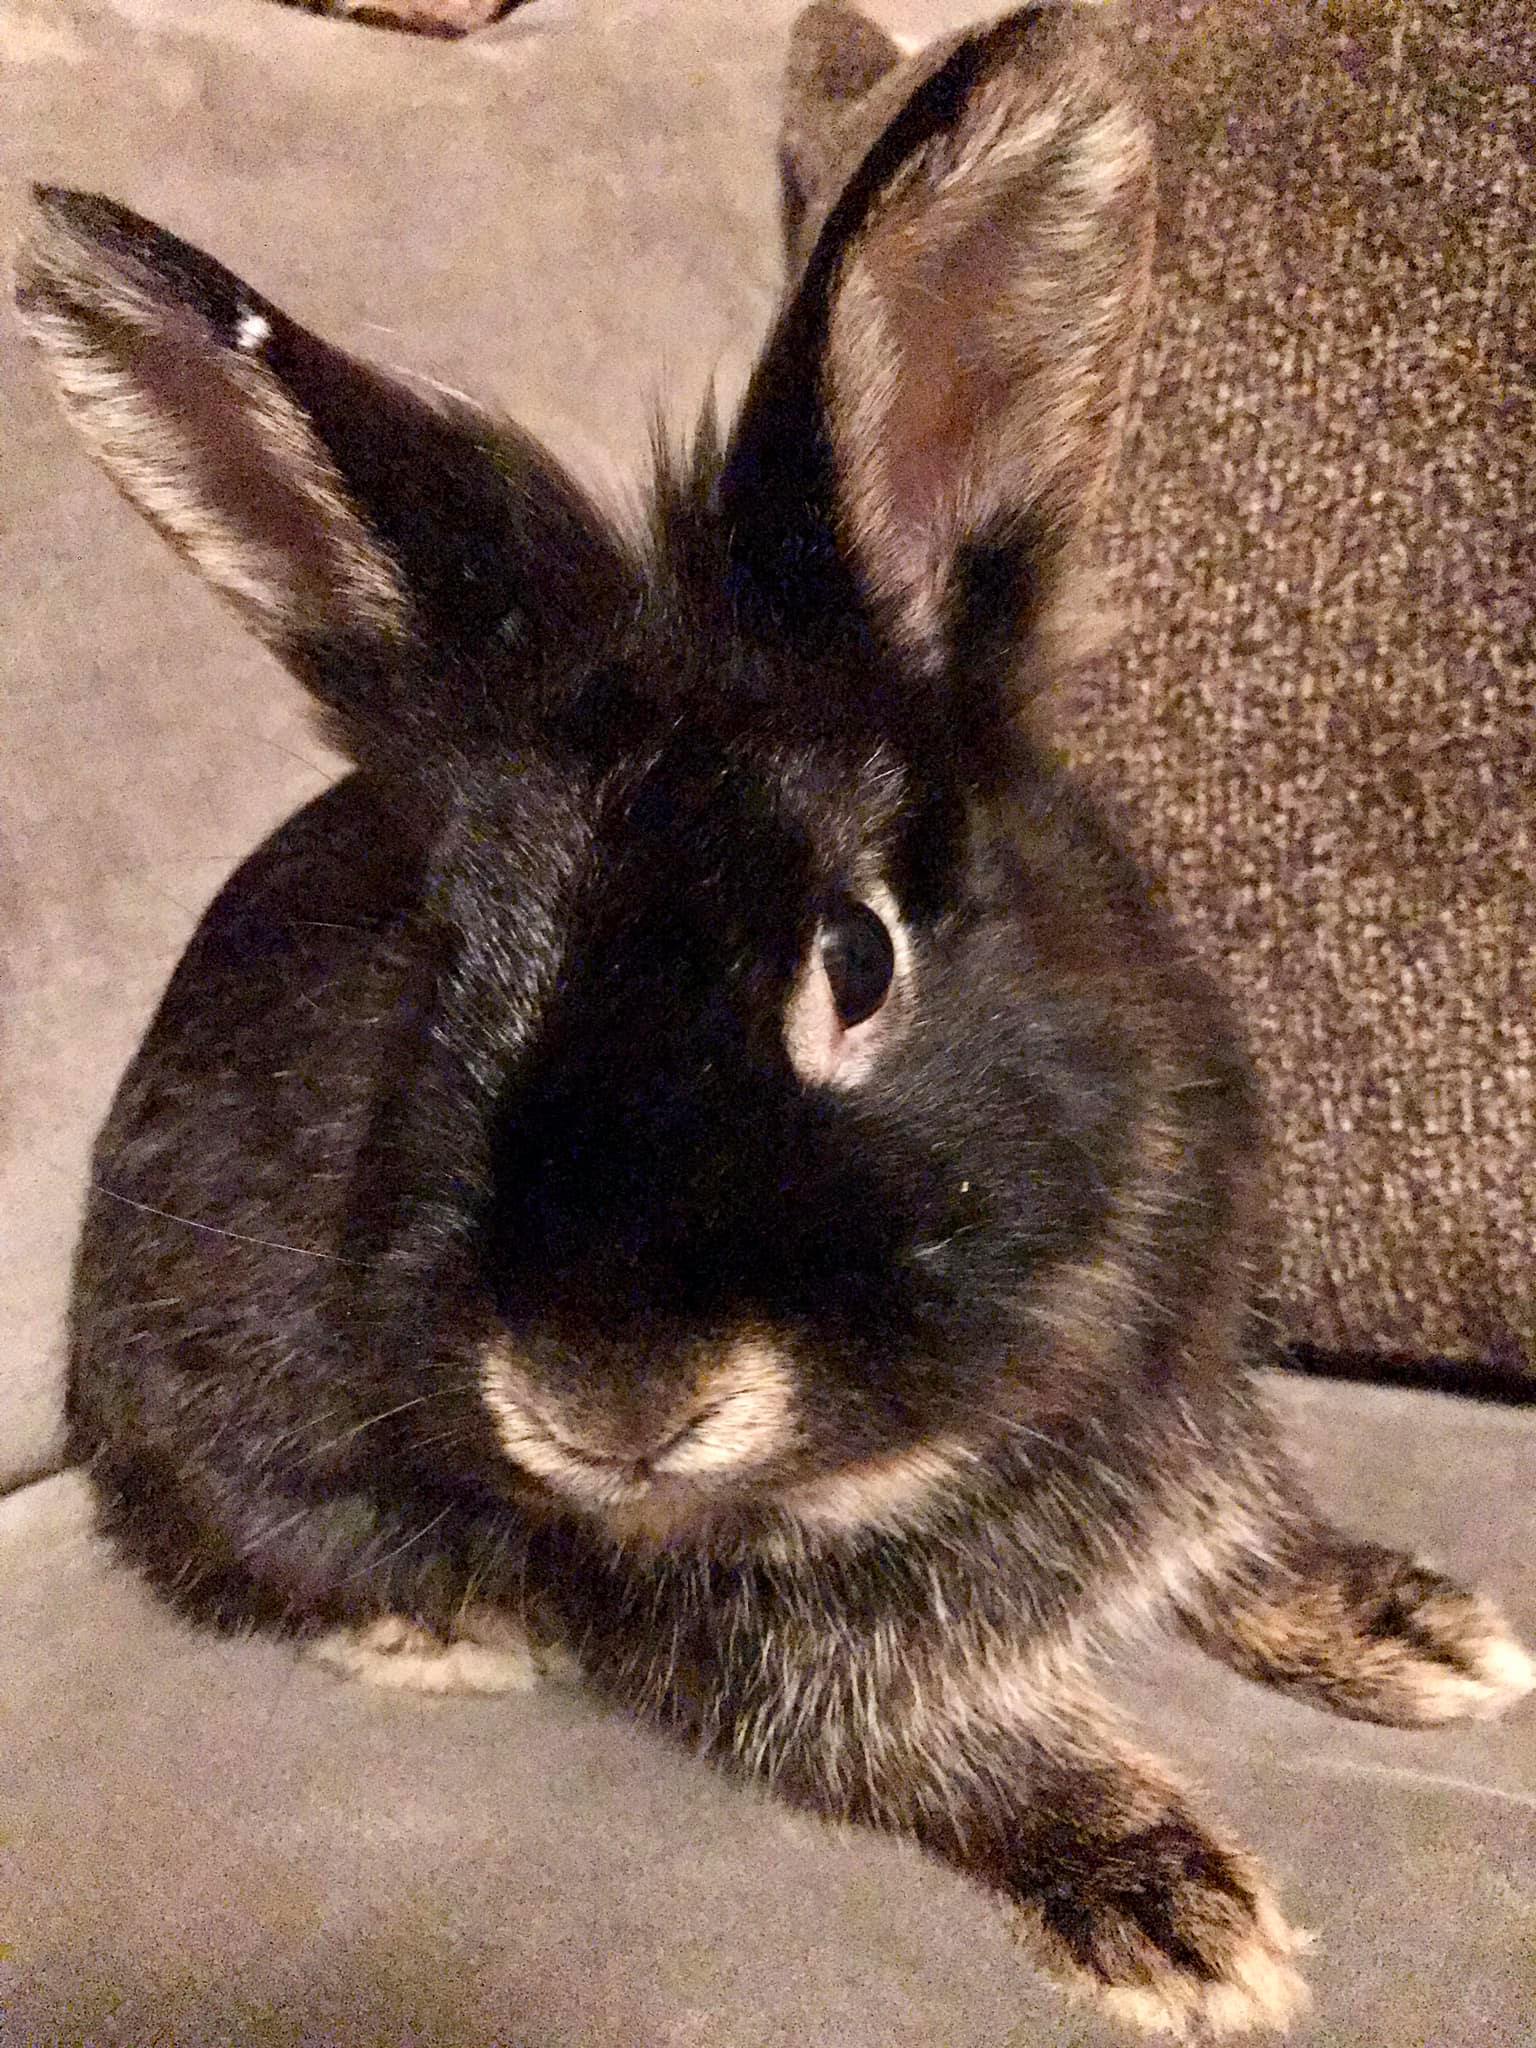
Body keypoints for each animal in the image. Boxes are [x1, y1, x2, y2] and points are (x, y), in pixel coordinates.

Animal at [17, 4, 1532, 2036]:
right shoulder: (747, 1639)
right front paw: (1177, 1908)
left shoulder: (1184, 1389)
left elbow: (1233, 1524)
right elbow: (931, 1741)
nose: (605, 1402)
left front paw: (1413, 1626)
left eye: (860, 958)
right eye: (454, 966)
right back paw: (436, 1629)